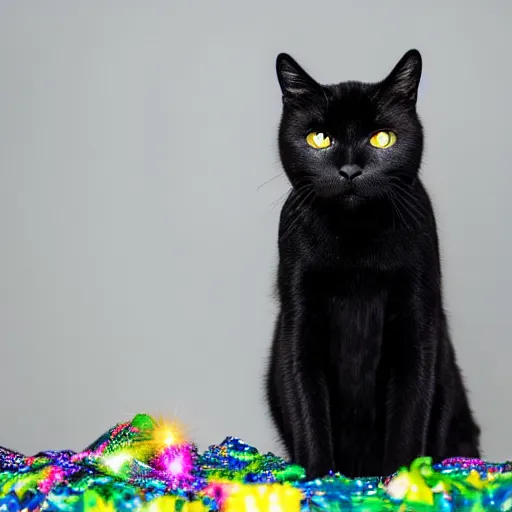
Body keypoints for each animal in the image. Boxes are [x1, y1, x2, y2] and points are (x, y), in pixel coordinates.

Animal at [266, 50, 482, 478]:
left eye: (382, 138)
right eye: (320, 138)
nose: (350, 170)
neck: (355, 243)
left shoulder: (417, 320)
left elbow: (410, 411)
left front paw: (399, 481)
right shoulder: (298, 320)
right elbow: (306, 405)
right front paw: (320, 480)